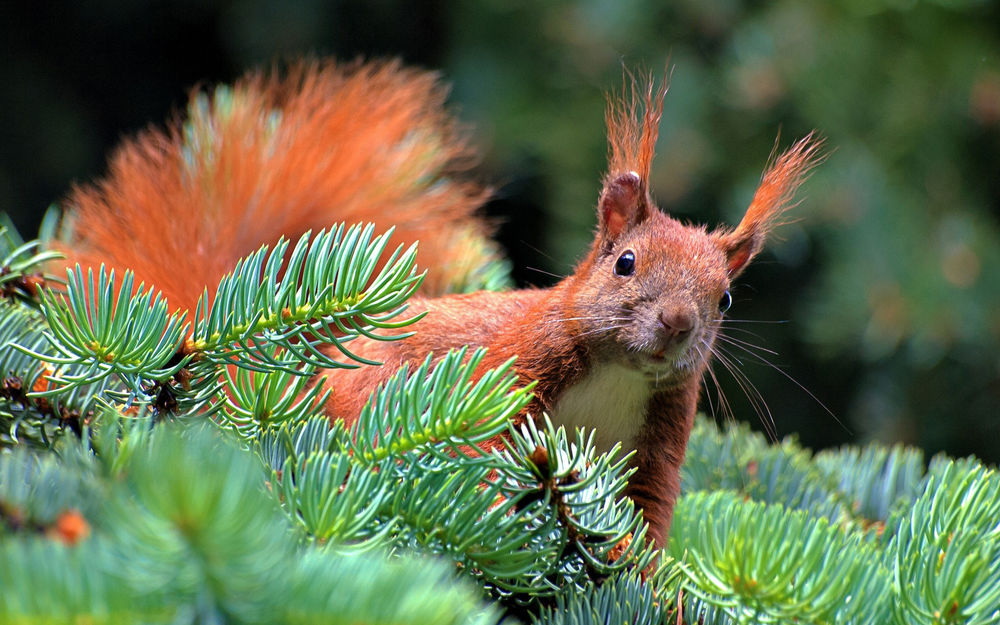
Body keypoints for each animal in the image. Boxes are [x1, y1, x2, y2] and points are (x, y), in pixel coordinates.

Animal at [54, 59, 823, 547]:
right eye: (625, 262)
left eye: (725, 297)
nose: (678, 323)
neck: (618, 376)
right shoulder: (513, 365)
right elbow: (482, 435)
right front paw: (494, 502)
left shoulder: (658, 450)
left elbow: (649, 522)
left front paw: (649, 583)